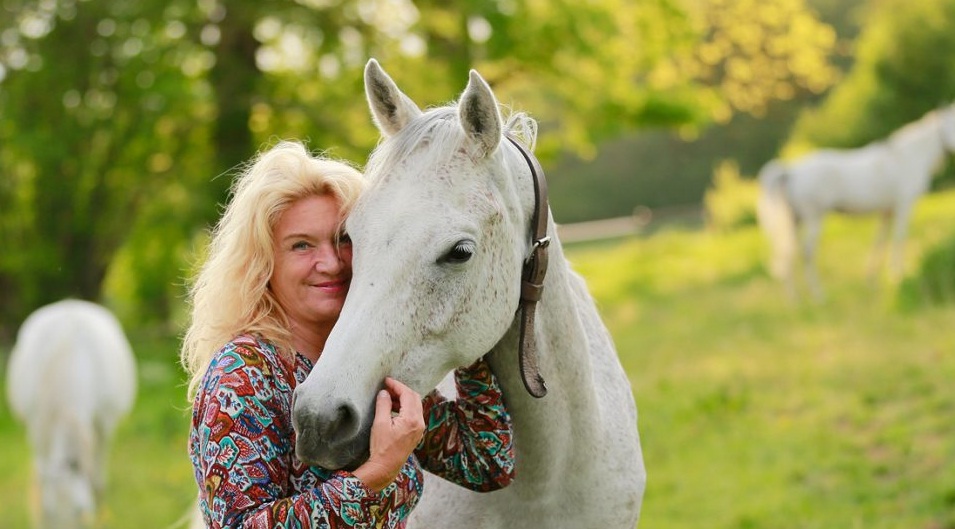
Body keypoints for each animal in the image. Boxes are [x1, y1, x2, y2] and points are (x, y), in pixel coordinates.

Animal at [757, 103, 955, 301]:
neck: (911, 157)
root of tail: (791, 171)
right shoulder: (903, 204)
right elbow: (899, 237)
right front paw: (897, 276)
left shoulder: (887, 210)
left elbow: (880, 241)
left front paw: (872, 279)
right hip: (813, 217)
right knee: (805, 252)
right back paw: (817, 295)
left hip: (794, 220)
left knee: (788, 254)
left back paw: (796, 298)